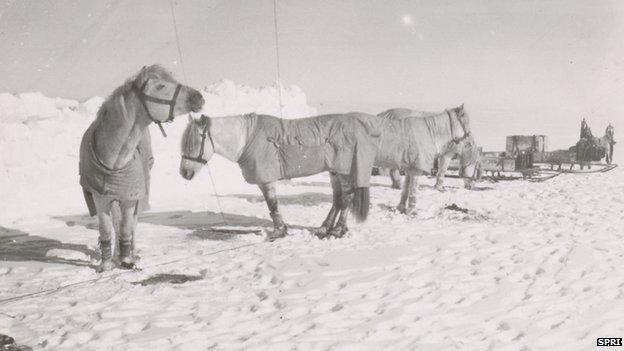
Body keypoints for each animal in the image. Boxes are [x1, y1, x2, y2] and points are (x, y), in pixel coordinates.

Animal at [79, 64, 204, 272]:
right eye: (161, 86)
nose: (198, 97)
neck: (114, 160)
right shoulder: (100, 197)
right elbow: (107, 228)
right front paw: (106, 264)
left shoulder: (131, 197)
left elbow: (126, 227)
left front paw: (127, 260)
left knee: (131, 224)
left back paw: (130, 251)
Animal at [179, 113, 380, 242]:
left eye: (194, 143)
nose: (184, 173)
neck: (246, 139)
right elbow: (272, 205)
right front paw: (281, 229)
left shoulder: (266, 180)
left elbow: (272, 204)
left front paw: (278, 231)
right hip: (335, 172)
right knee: (338, 199)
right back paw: (325, 227)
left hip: (344, 171)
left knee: (346, 199)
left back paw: (338, 230)